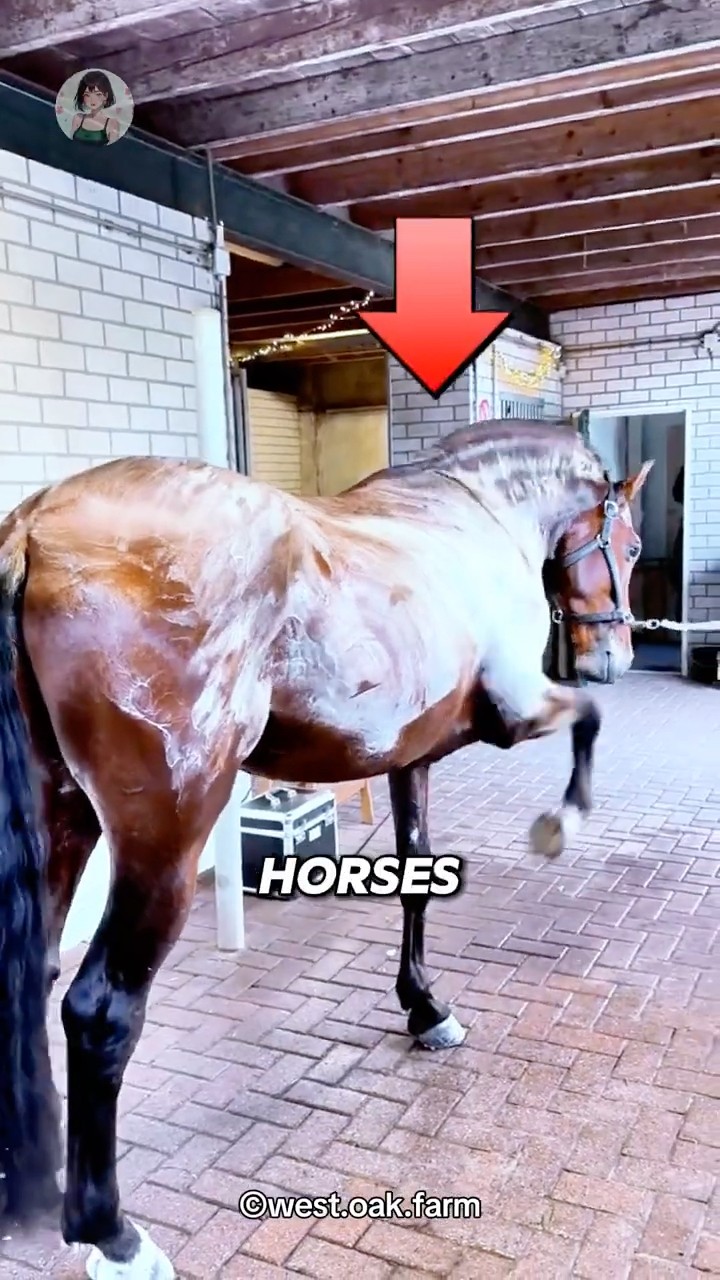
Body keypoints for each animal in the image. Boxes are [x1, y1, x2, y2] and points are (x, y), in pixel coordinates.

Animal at [0, 418, 650, 1279]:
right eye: (632, 545)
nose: (618, 658)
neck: (474, 513)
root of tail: (36, 527)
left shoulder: (412, 756)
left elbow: (416, 879)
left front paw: (425, 1007)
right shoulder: (518, 711)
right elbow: (587, 721)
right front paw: (561, 822)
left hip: (63, 818)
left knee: (31, 976)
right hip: (164, 838)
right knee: (101, 1010)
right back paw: (112, 1233)